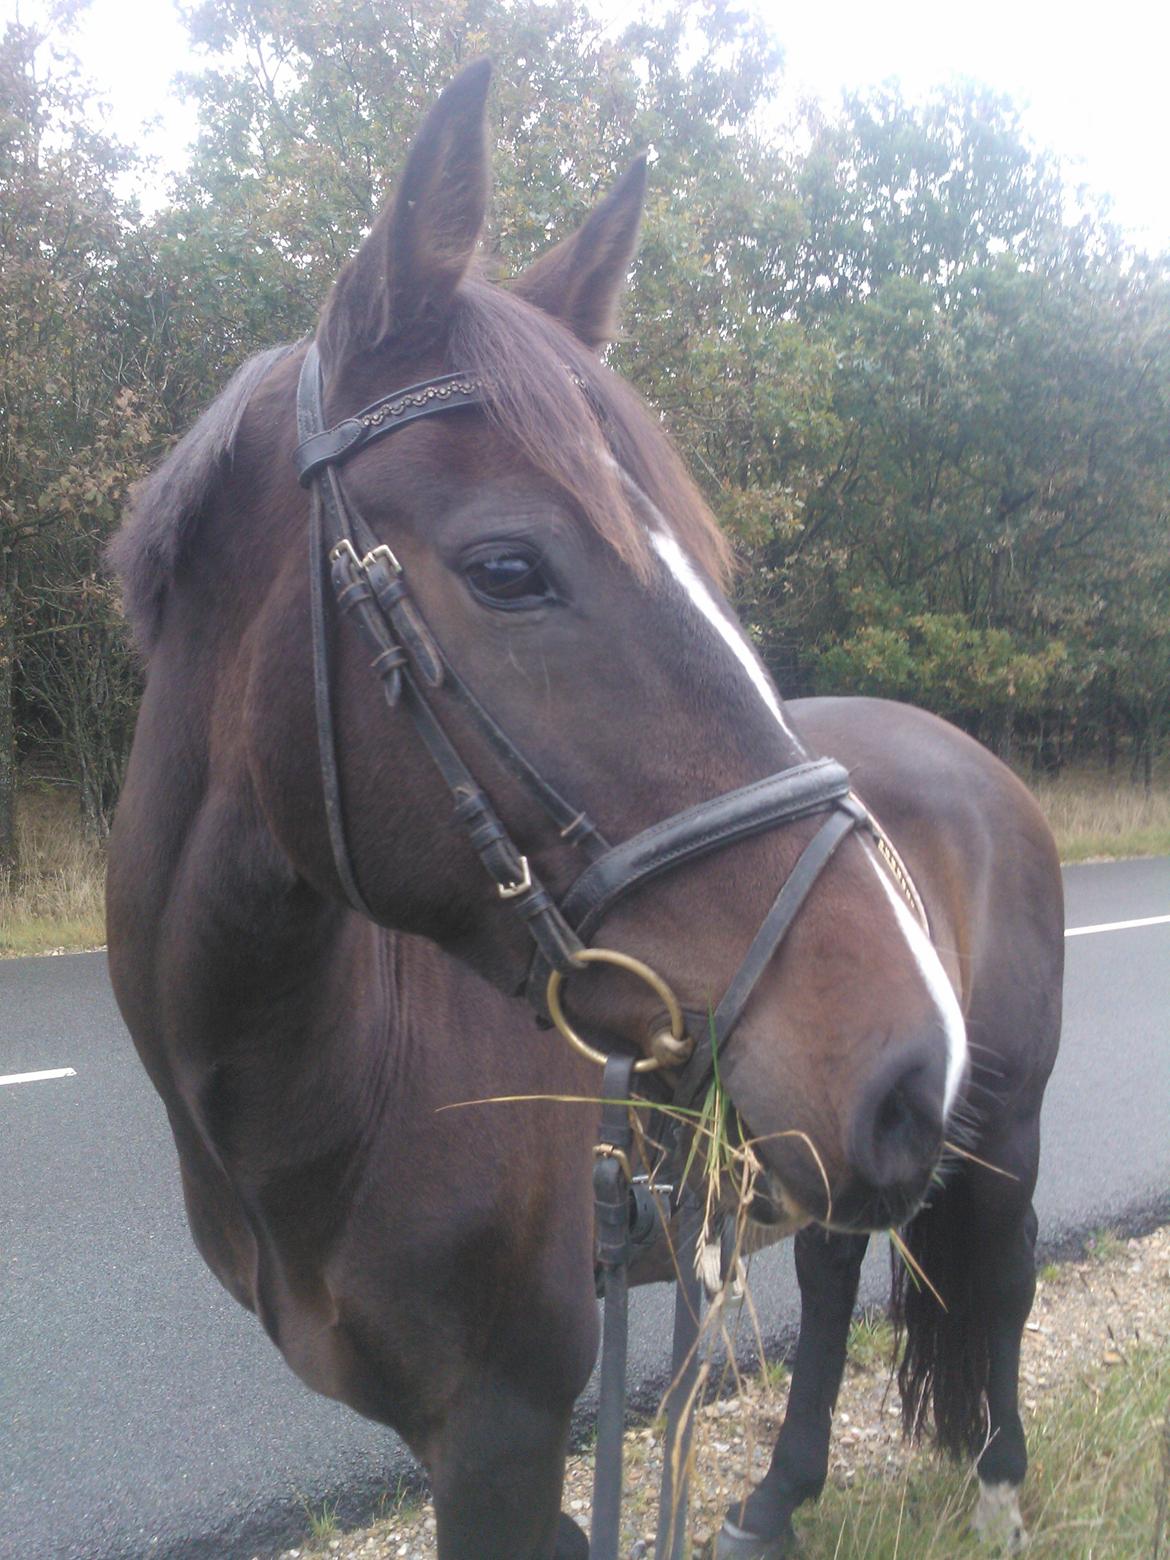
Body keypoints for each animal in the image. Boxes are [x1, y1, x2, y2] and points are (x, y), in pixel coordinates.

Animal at [107, 63, 1060, 1560]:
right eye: (509, 568)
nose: (911, 1062)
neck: (345, 1082)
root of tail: (974, 759)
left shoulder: (503, 1428)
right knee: (835, 1274)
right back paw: (776, 1496)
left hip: (996, 1135)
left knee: (1001, 1285)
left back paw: (999, 1491)